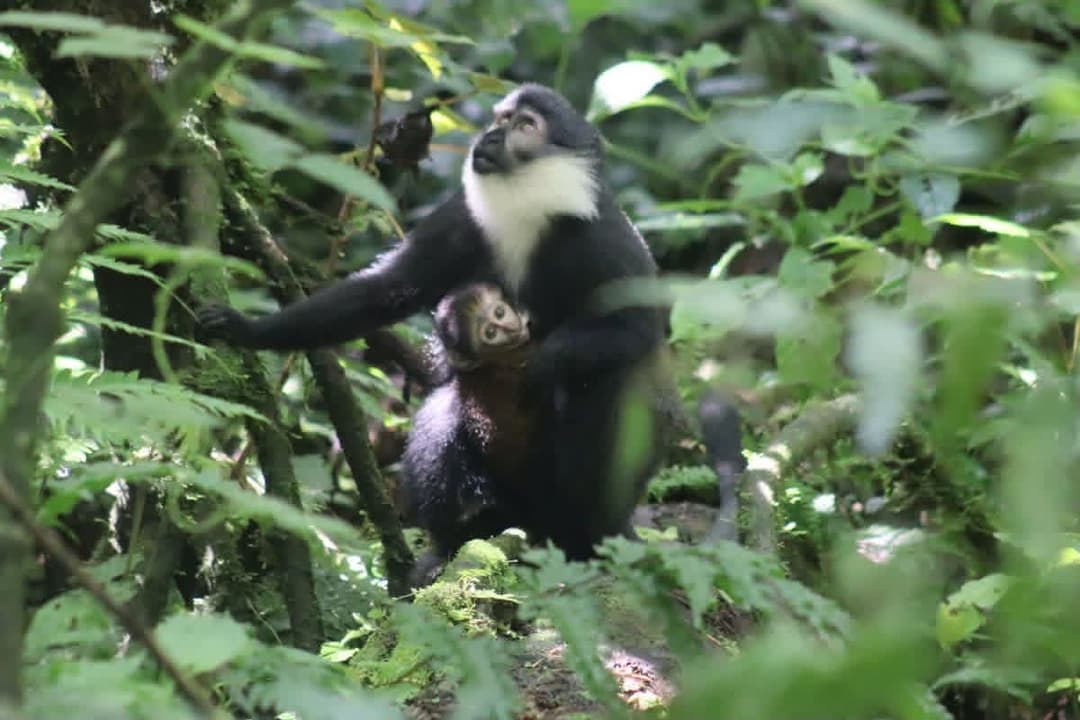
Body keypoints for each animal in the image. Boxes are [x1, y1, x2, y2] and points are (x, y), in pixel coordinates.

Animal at [198, 83, 724, 564]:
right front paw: (246, 328)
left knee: (609, 379)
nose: (489, 136)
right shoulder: (464, 215)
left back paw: (586, 537)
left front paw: (540, 364)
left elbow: (638, 331)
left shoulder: (602, 240)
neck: (526, 208)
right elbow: (387, 289)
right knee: (449, 407)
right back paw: (454, 541)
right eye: (500, 117)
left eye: (524, 126)